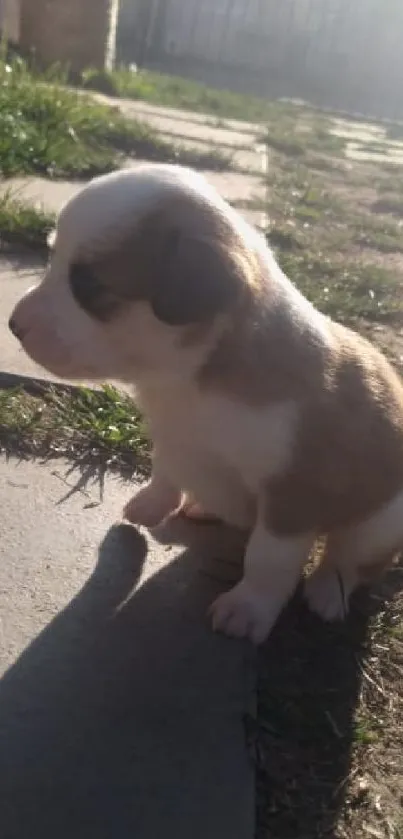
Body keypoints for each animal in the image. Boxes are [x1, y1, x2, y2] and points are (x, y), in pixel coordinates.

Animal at [8, 167, 403, 648]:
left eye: (89, 286)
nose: (14, 325)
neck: (189, 375)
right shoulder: (170, 436)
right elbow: (163, 473)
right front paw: (151, 503)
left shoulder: (291, 498)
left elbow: (268, 561)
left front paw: (249, 606)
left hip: (378, 526)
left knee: (350, 560)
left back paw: (328, 590)